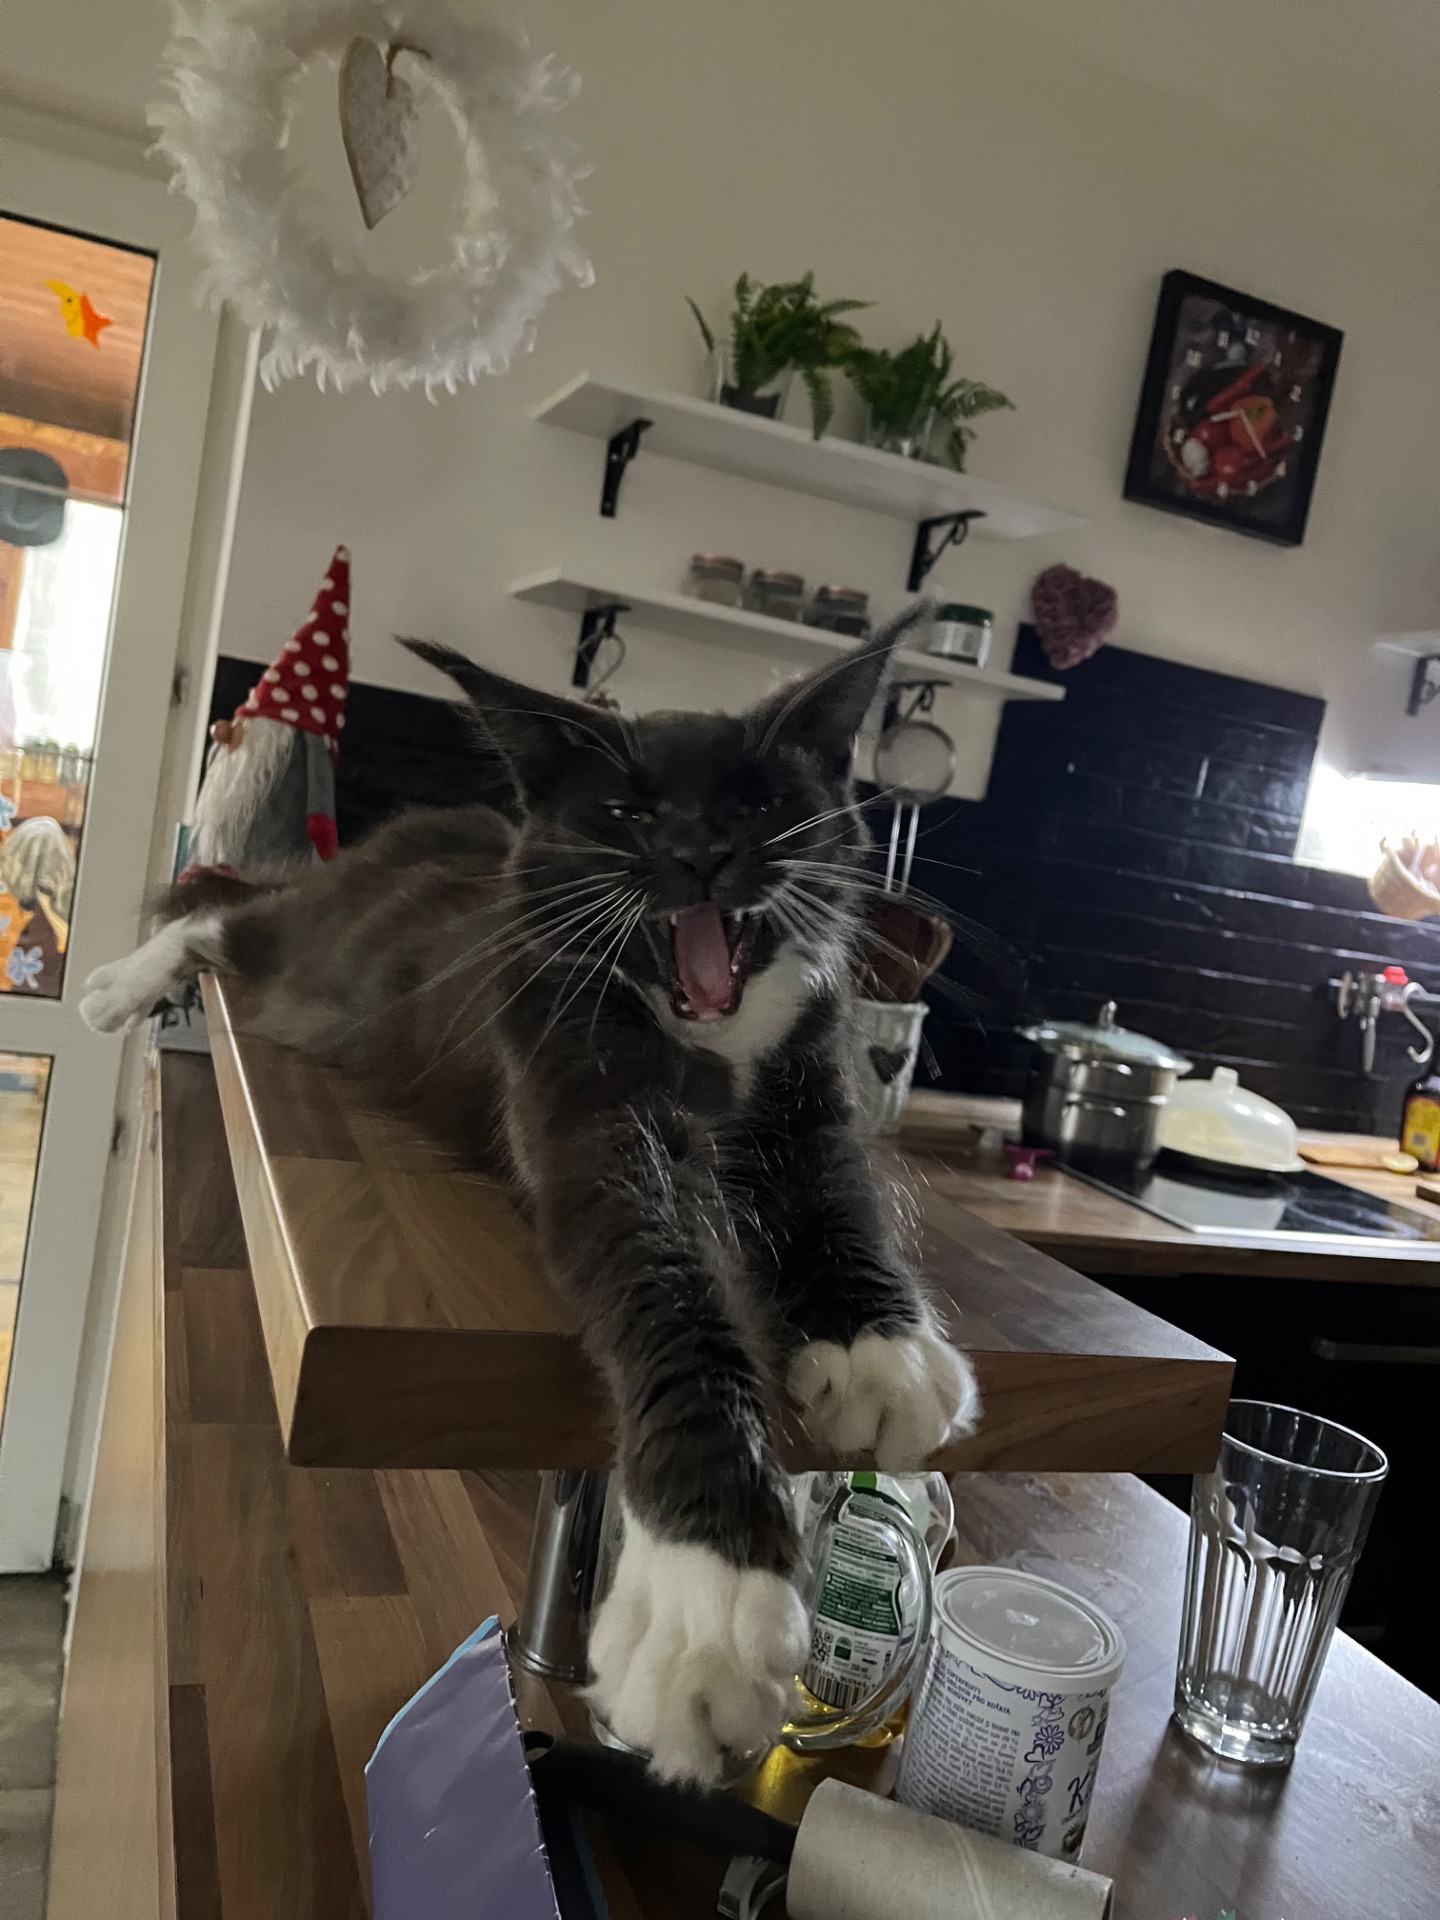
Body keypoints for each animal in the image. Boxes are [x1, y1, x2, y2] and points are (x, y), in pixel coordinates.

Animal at [81, 608, 980, 1784]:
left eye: (754, 804)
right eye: (629, 812)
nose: (699, 852)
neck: (706, 1041)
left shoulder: (811, 1090)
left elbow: (838, 1201)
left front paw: (879, 1347)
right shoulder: (581, 1126)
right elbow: (670, 1302)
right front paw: (705, 1598)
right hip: (304, 951)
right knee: (221, 921)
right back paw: (120, 982)